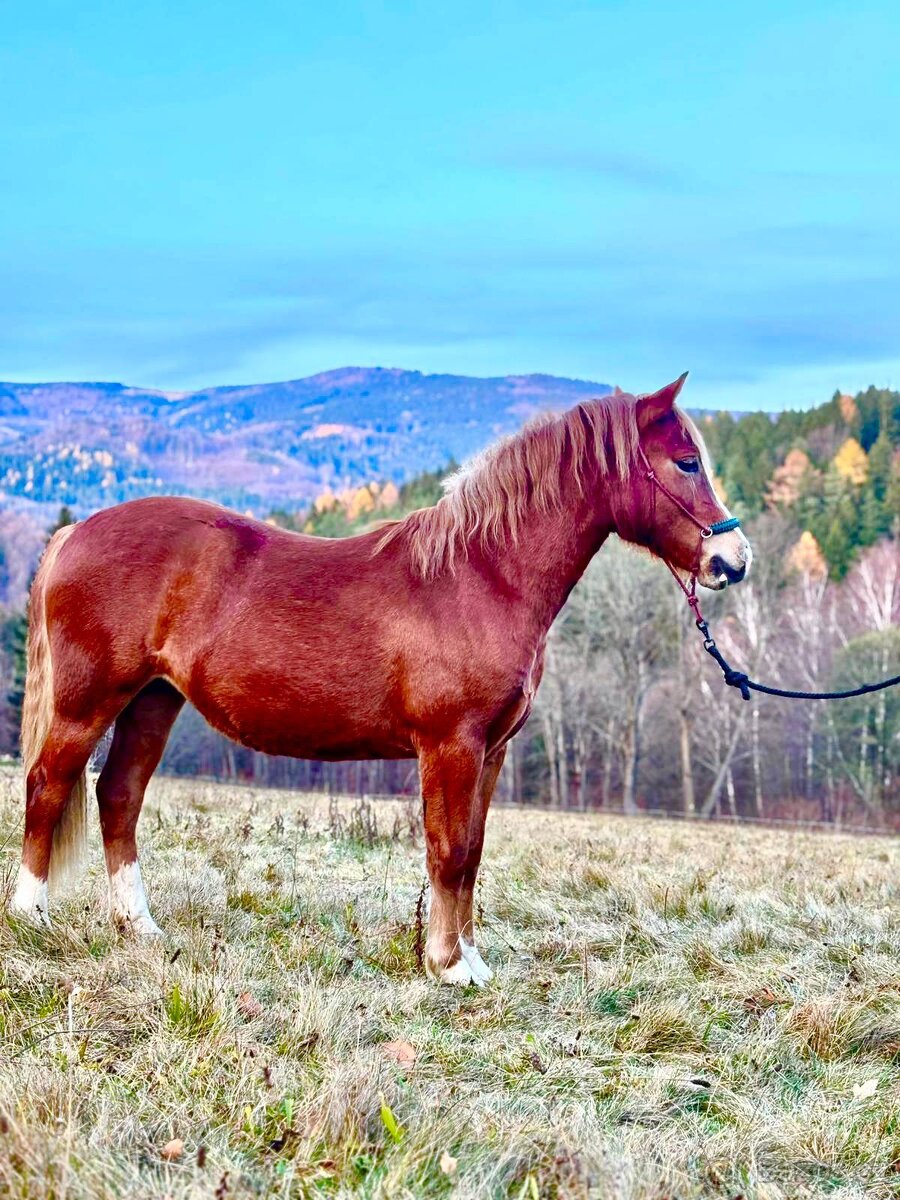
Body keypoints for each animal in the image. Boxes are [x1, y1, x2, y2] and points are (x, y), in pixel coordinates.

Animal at [9, 374, 751, 984]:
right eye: (686, 462)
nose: (733, 560)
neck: (479, 576)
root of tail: (76, 532)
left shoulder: (490, 751)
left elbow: (472, 852)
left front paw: (467, 958)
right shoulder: (450, 745)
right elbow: (448, 851)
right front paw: (449, 967)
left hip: (153, 702)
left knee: (119, 798)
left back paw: (140, 929)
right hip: (87, 703)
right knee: (48, 787)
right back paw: (31, 917)